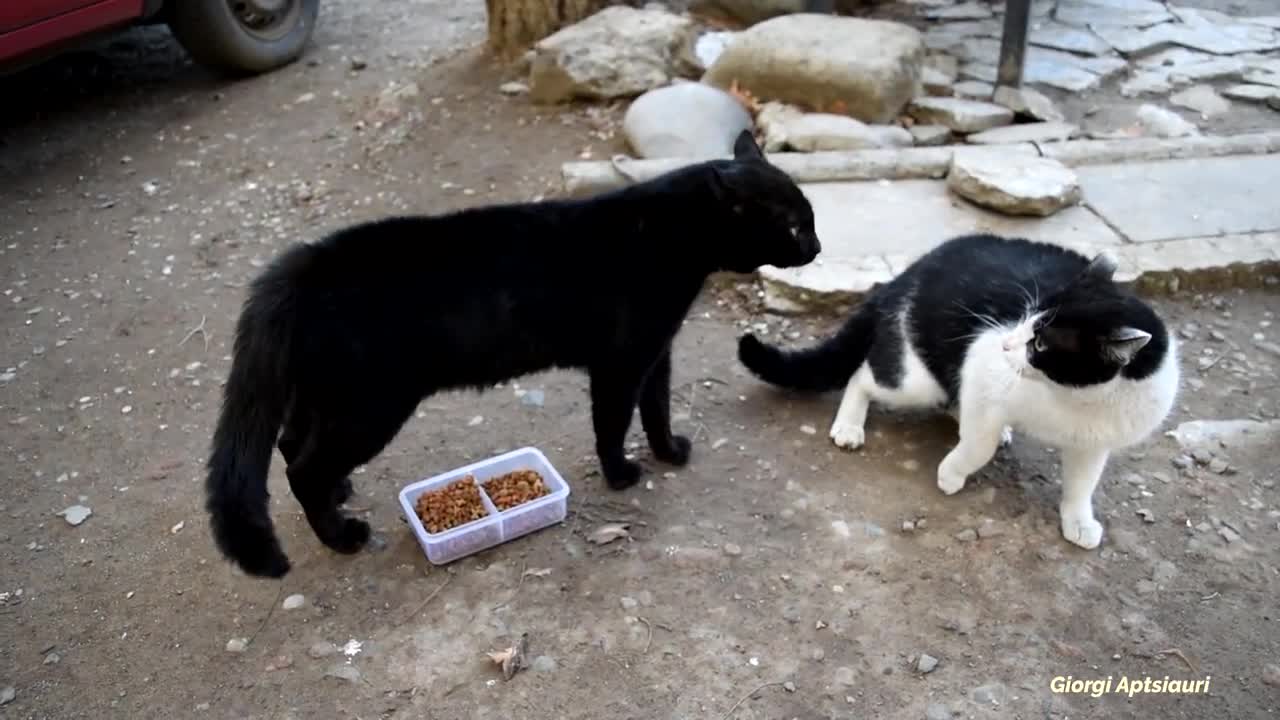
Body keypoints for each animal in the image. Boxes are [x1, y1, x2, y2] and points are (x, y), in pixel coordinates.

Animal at [202, 130, 819, 576]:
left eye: (810, 218)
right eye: (793, 224)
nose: (816, 246)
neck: (668, 238)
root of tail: (301, 265)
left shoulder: (656, 352)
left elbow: (658, 409)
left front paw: (669, 451)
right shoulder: (621, 361)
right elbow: (614, 422)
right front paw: (621, 474)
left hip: (325, 395)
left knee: (290, 444)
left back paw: (341, 494)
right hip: (369, 406)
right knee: (302, 466)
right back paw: (341, 536)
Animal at [742, 233, 1177, 545]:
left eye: (1040, 344)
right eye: (1026, 318)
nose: (1007, 345)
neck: (1073, 399)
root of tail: (912, 269)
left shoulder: (1094, 441)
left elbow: (1082, 484)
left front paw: (1078, 521)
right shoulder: (981, 365)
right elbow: (978, 446)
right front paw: (952, 473)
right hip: (915, 379)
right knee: (864, 375)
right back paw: (850, 424)